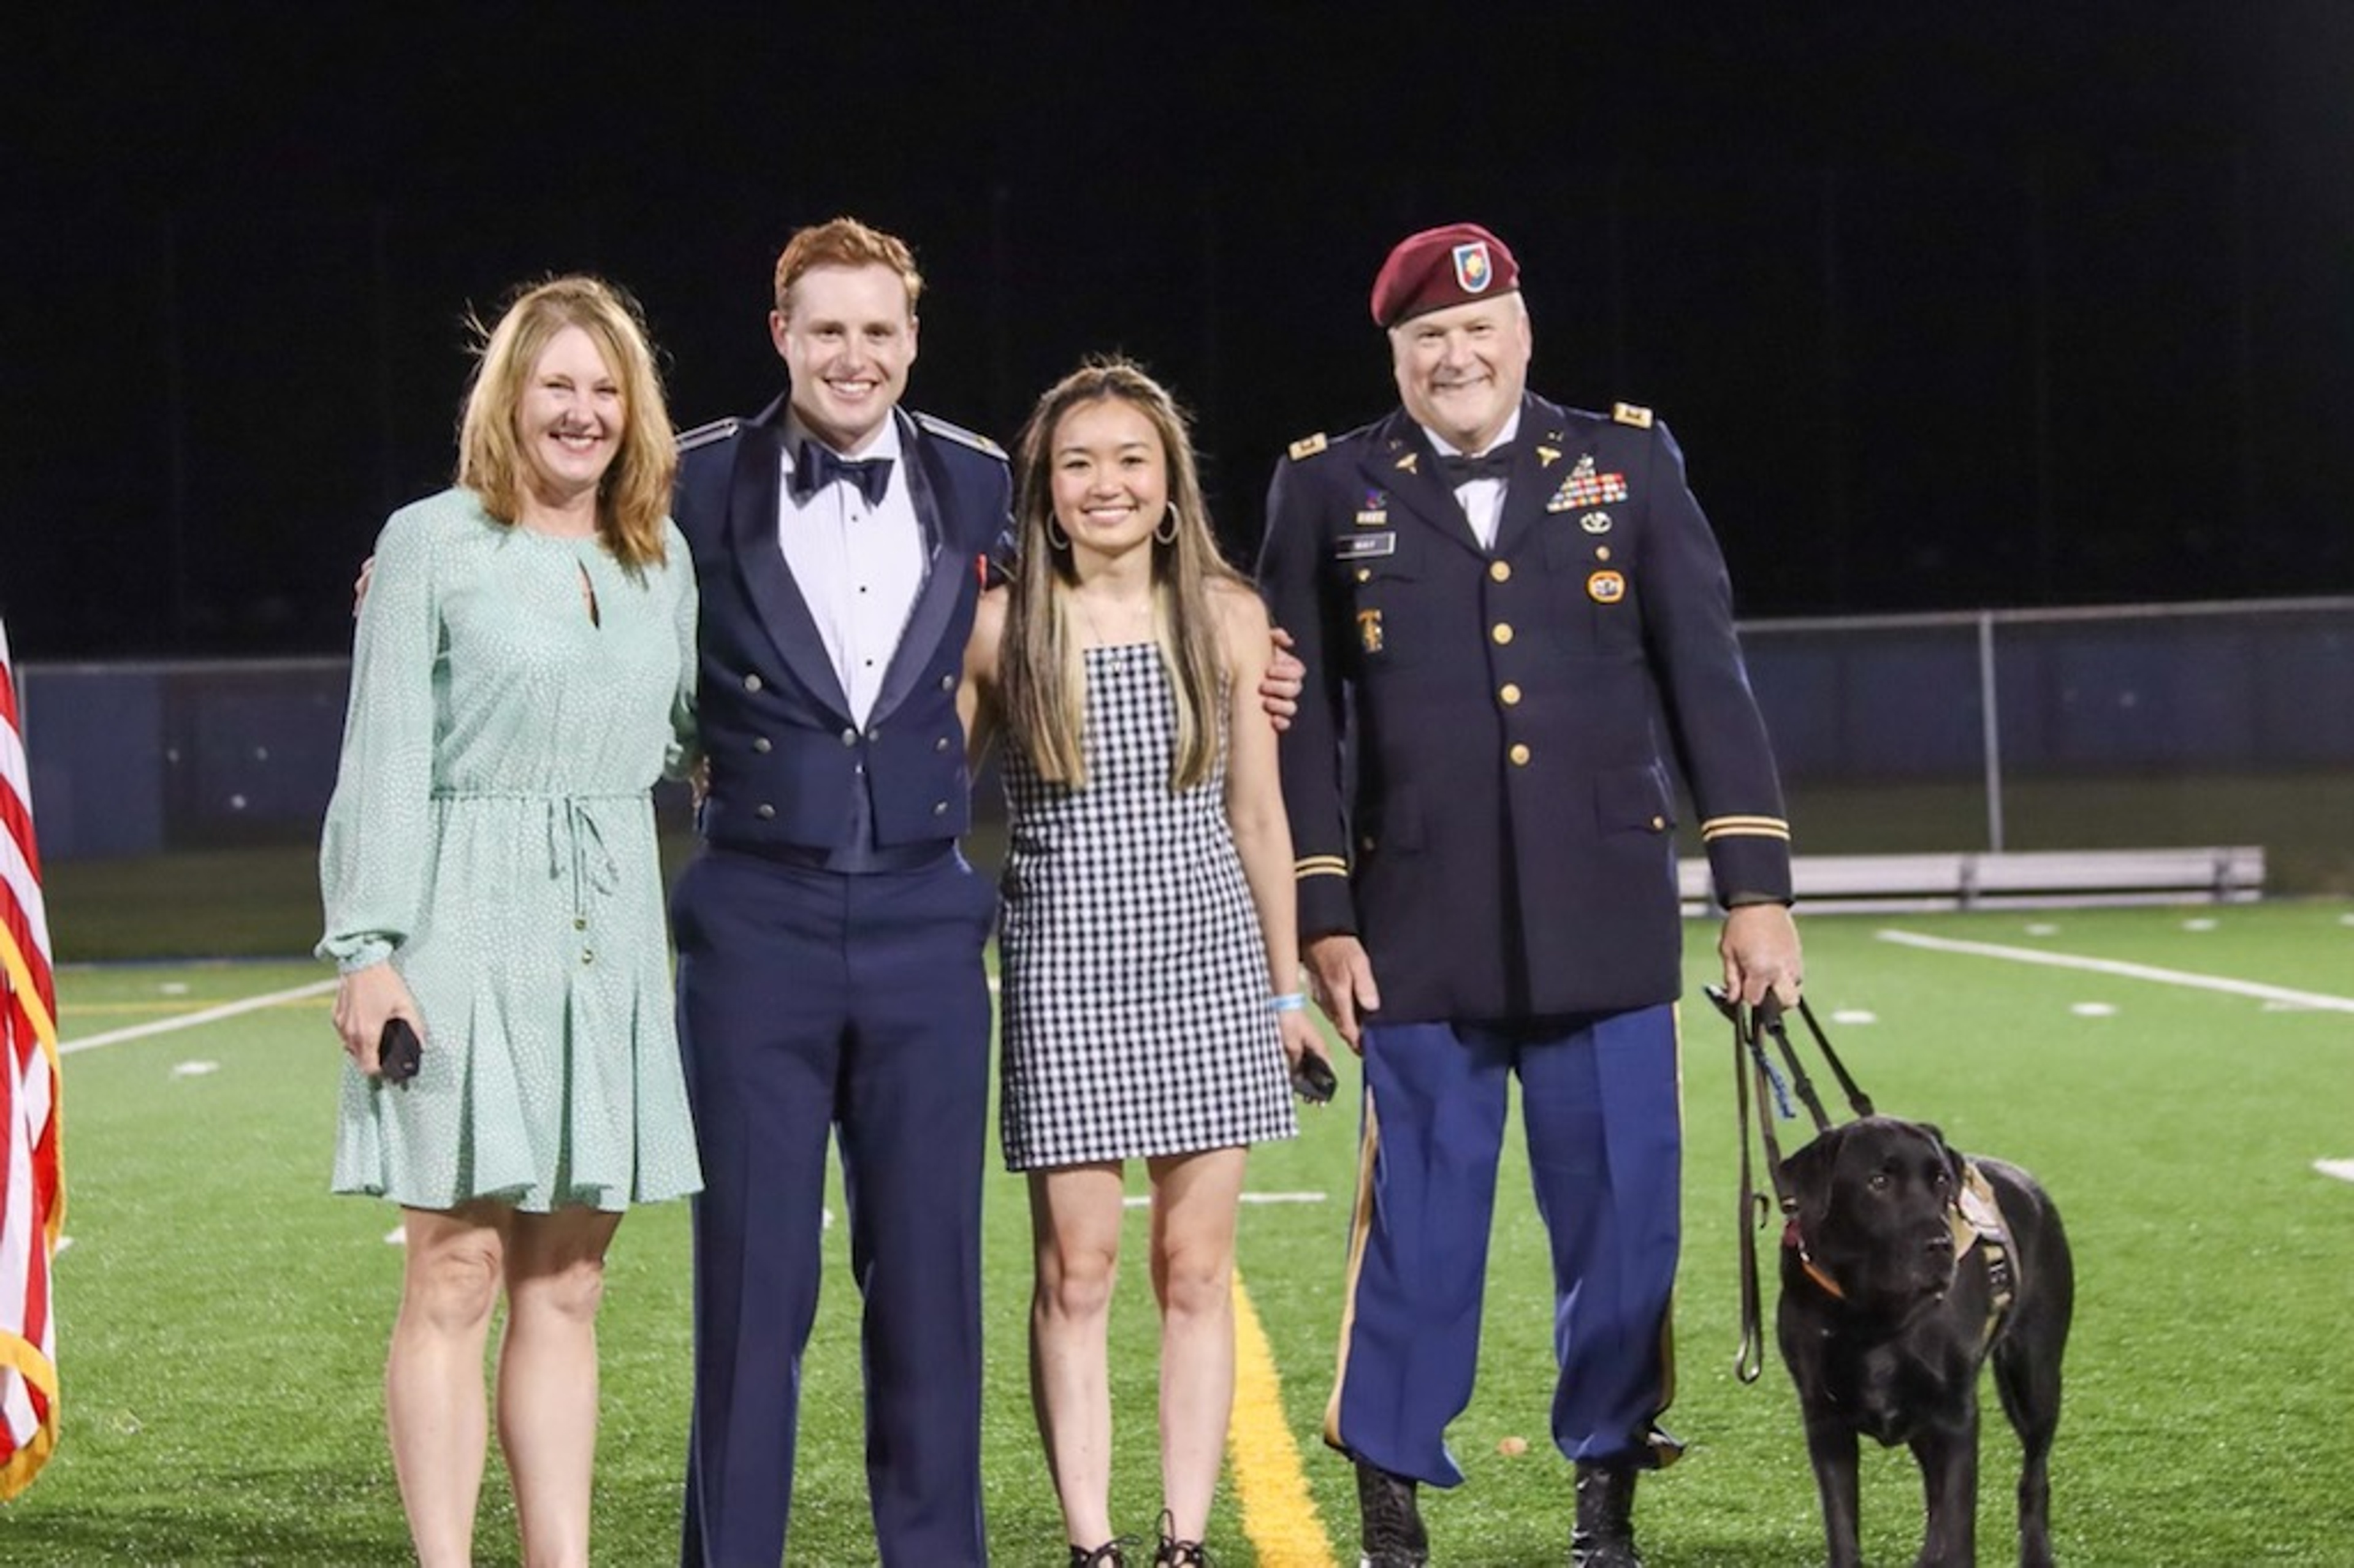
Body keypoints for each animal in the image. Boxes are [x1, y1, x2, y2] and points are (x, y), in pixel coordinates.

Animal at [1770, 1111, 2071, 1563]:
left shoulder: (1955, 1415)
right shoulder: (1825, 1420)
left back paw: (2036, 1555)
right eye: (1879, 1181)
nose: (1940, 1245)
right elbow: (1843, 1529)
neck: (1871, 1314)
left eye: (1942, 1181)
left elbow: (1958, 1526)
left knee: (2034, 1476)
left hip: (2034, 1377)